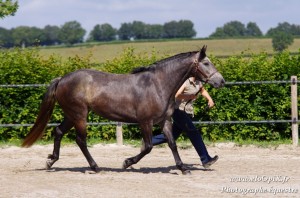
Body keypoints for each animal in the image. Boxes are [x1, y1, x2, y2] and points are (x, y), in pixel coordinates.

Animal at [22, 45, 224, 175]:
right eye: (206, 63)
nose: (220, 81)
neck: (158, 84)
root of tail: (62, 79)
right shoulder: (145, 121)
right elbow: (148, 147)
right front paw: (127, 163)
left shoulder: (164, 121)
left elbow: (172, 143)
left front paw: (183, 168)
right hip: (79, 115)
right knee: (80, 140)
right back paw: (95, 167)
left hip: (71, 115)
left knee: (58, 131)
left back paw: (50, 161)